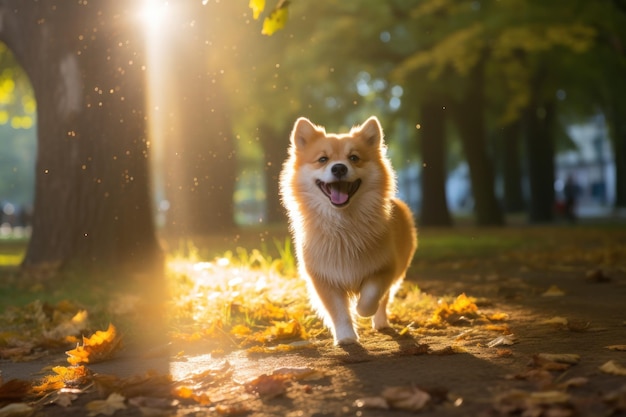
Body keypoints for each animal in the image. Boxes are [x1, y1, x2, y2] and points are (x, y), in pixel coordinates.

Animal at [278, 115, 414, 342]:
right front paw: (346, 337)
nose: (339, 168)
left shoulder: (385, 268)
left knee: (384, 300)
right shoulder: (324, 279)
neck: (343, 225)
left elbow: (370, 297)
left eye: (354, 158)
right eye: (323, 159)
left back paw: (380, 322)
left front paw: (362, 310)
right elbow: (338, 311)